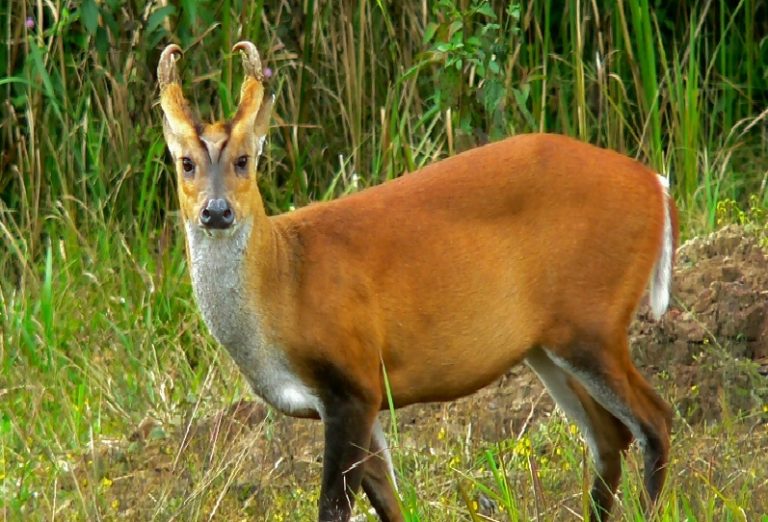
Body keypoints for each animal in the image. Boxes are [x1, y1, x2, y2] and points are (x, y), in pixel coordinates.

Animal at [157, 41, 677, 522]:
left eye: (244, 160)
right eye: (186, 163)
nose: (217, 212)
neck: (284, 281)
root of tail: (657, 185)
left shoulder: (353, 381)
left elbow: (334, 507)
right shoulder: (353, 399)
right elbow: (389, 504)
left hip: (592, 319)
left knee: (655, 420)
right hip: (548, 346)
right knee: (610, 437)